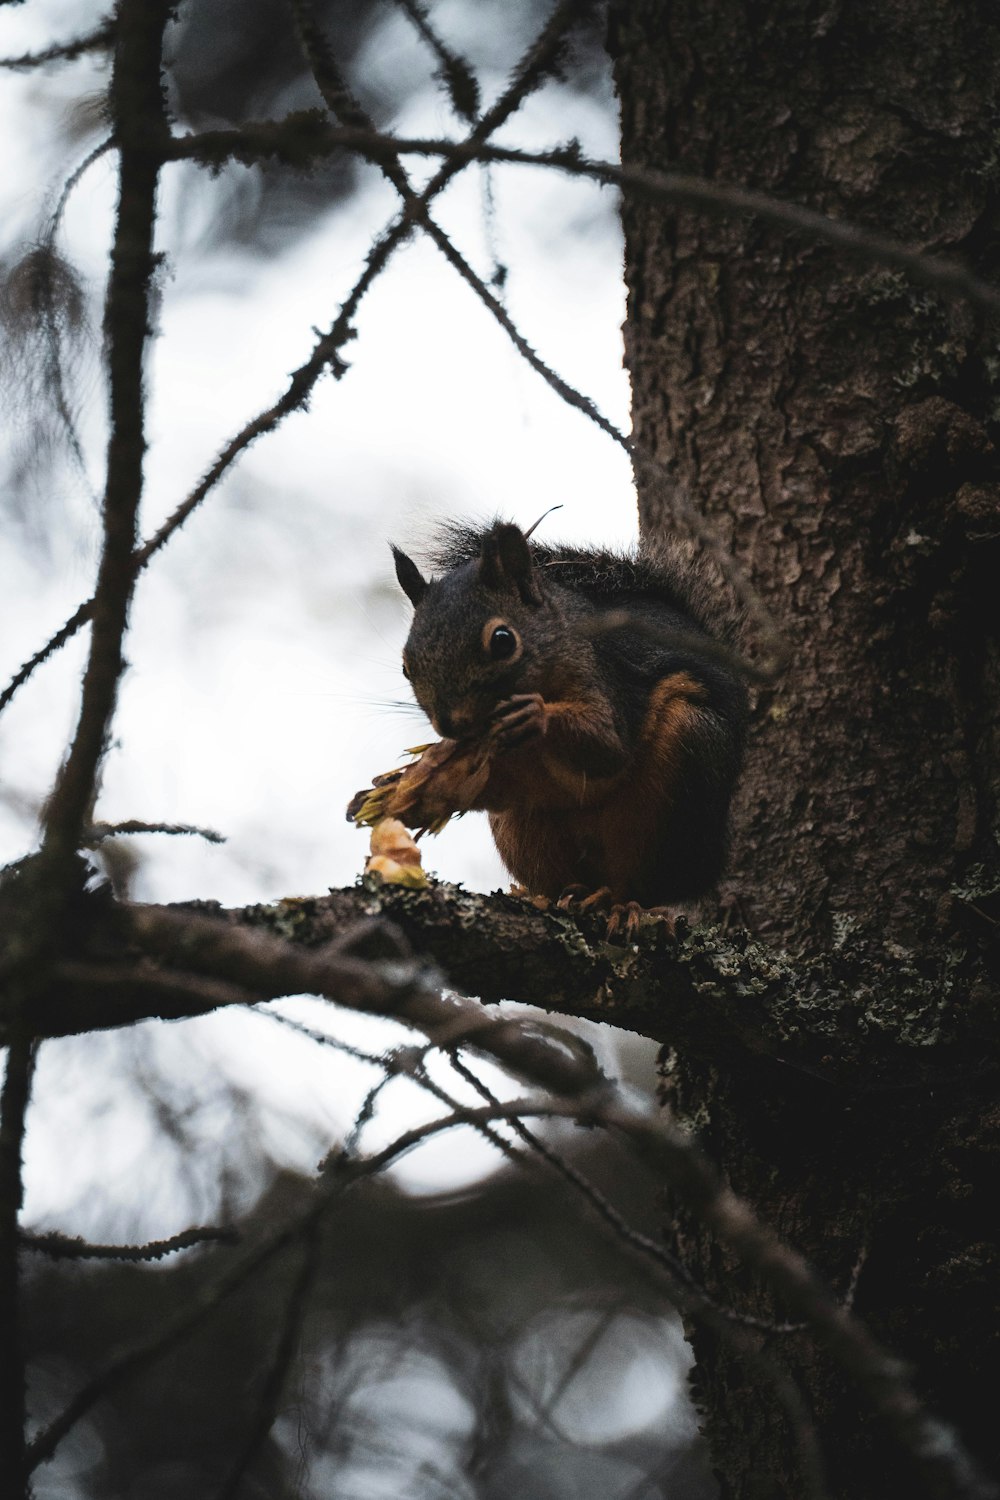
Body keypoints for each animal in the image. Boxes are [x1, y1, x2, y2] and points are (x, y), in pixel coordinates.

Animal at [347, 522, 746, 930]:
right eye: (406, 666)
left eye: (503, 640)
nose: (451, 725)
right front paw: (393, 790)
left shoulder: (607, 676)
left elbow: (608, 747)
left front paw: (536, 716)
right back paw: (550, 896)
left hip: (683, 778)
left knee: (643, 885)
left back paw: (622, 905)